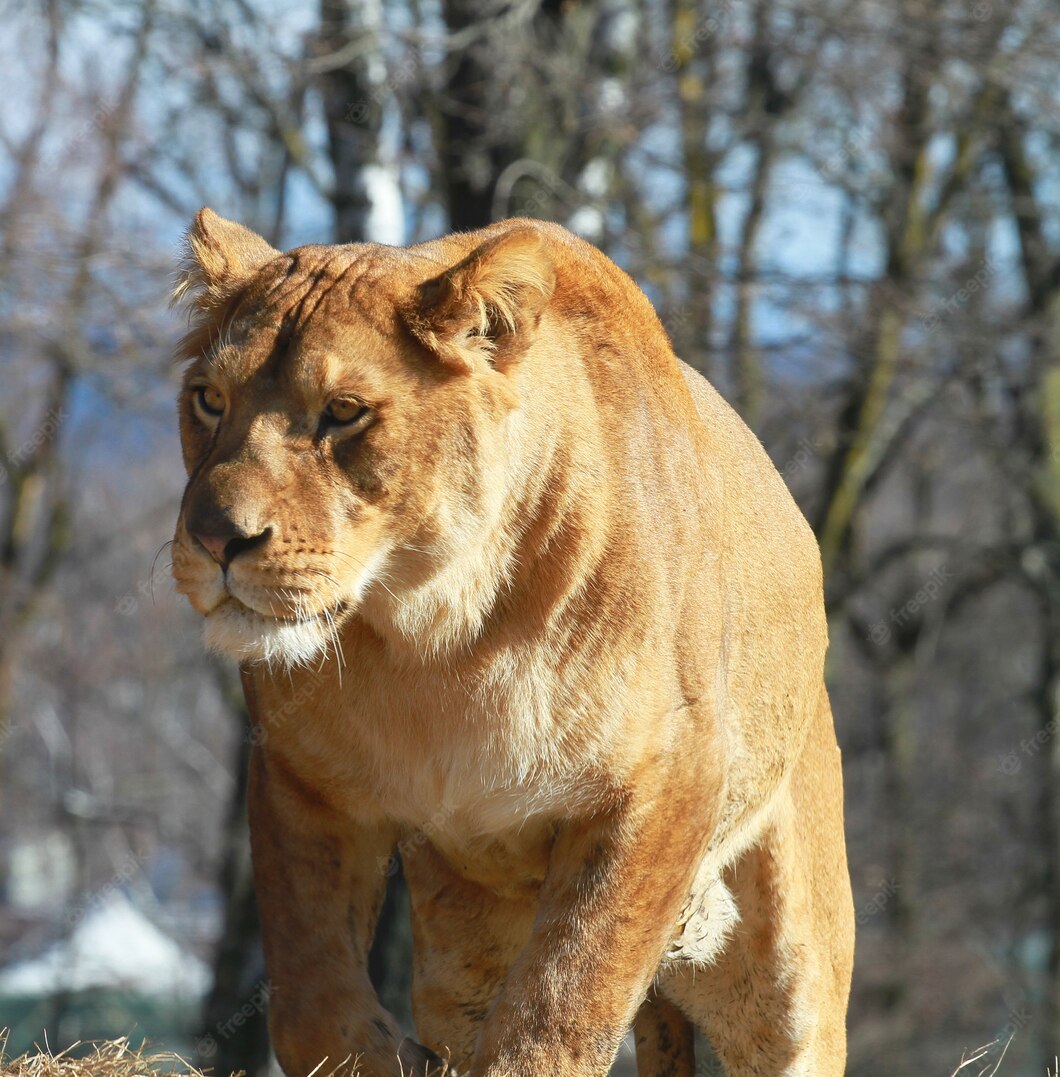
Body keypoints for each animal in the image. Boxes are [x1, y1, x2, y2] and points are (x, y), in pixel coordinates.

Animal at [171, 208, 854, 1077]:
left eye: (344, 411)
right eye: (208, 400)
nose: (214, 539)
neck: (434, 641)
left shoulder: (666, 782)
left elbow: (562, 1006)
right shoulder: (302, 779)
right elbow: (309, 1002)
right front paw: (394, 1057)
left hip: (786, 969)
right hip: (459, 945)